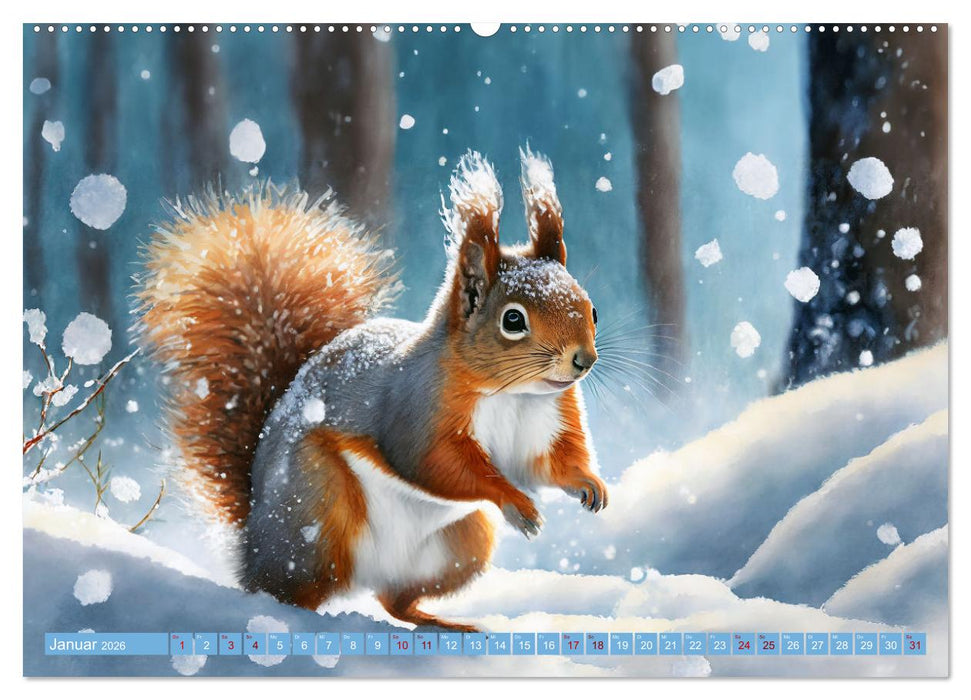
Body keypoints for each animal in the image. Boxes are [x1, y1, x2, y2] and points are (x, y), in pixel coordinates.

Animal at [137, 148, 607, 631]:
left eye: (592, 310)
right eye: (513, 320)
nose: (583, 360)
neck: (515, 395)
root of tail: (252, 535)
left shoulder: (548, 422)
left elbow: (548, 463)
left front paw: (589, 484)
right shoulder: (418, 408)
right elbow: (438, 463)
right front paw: (515, 501)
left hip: (463, 542)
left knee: (393, 600)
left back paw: (444, 622)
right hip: (315, 508)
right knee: (287, 588)